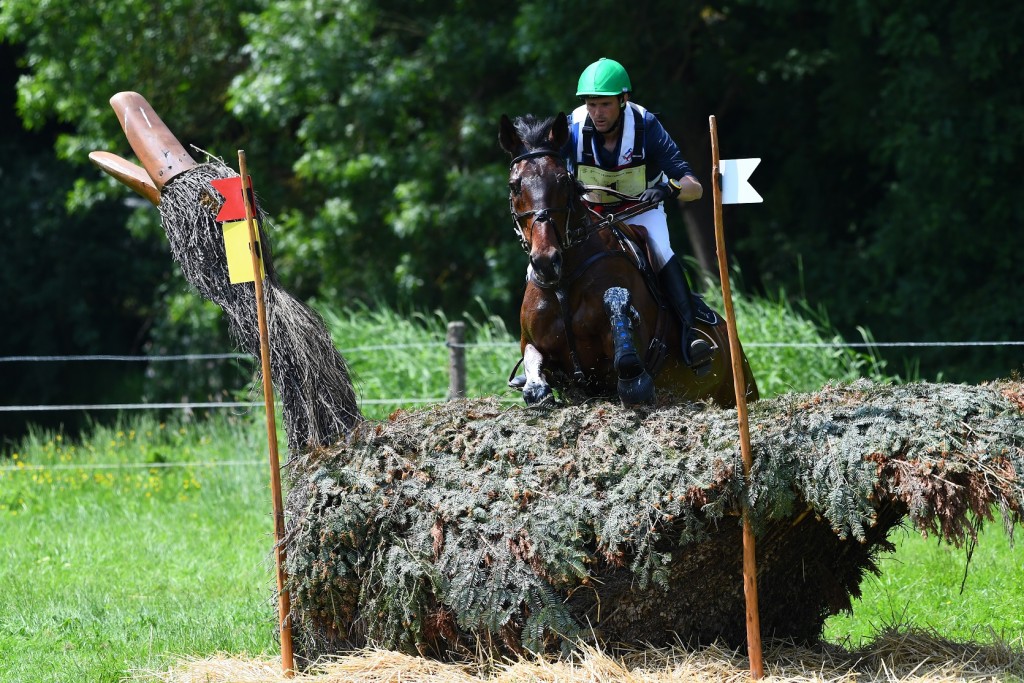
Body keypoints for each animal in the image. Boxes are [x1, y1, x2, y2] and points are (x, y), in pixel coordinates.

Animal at [499, 112, 757, 405]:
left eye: (563, 180)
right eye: (514, 186)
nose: (546, 262)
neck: (564, 280)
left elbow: (627, 364)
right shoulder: (540, 349)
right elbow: (534, 371)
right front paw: (534, 387)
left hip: (737, 390)